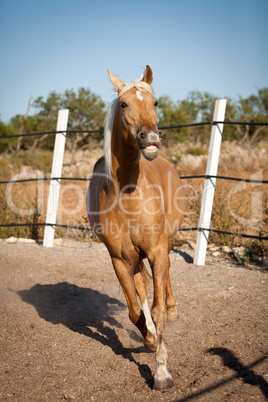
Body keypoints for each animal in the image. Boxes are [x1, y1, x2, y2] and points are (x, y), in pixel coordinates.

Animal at [87, 65, 185, 390]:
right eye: (124, 104)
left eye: (155, 102)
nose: (151, 138)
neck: (128, 195)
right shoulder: (119, 259)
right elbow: (133, 310)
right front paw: (151, 339)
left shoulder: (156, 251)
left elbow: (156, 307)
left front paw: (162, 372)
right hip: (133, 257)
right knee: (141, 285)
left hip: (164, 244)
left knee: (164, 280)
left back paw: (172, 309)